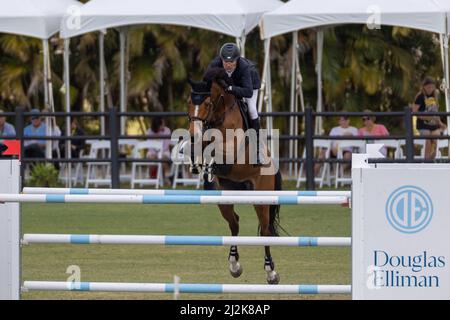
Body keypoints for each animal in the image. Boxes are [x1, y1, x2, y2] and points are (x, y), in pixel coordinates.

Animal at [186, 68, 282, 284]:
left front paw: (210, 164)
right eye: (188, 102)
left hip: (261, 198)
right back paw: (234, 265)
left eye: (206, 103)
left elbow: (219, 149)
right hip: (224, 197)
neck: (220, 114)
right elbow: (202, 146)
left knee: (265, 231)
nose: (194, 133)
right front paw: (197, 162)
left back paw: (271, 272)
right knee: (234, 223)